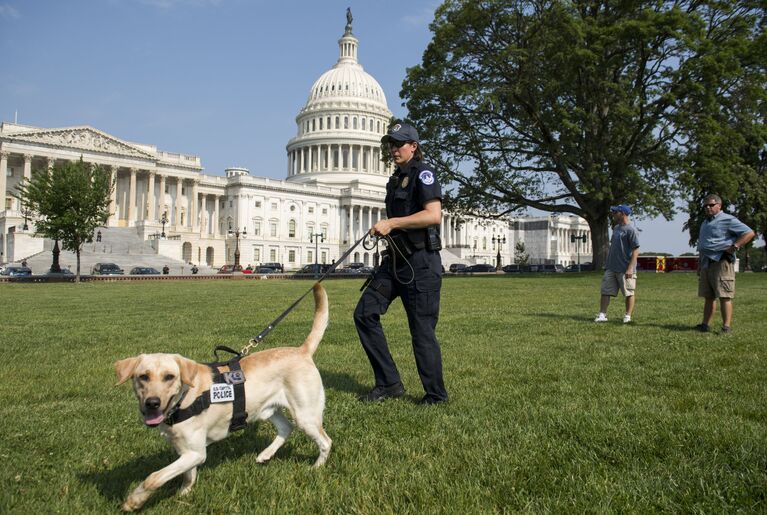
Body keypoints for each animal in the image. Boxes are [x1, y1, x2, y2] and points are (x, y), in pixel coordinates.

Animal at [115, 284, 332, 512]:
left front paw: (134, 500)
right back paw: (266, 454)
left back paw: (317, 467)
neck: (184, 399)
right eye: (143, 377)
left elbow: (154, 477)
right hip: (267, 410)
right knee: (286, 427)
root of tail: (302, 351)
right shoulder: (186, 450)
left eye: (169, 377)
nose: (152, 403)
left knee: (326, 442)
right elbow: (188, 476)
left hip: (305, 415)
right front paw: (184, 493)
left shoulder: (196, 453)